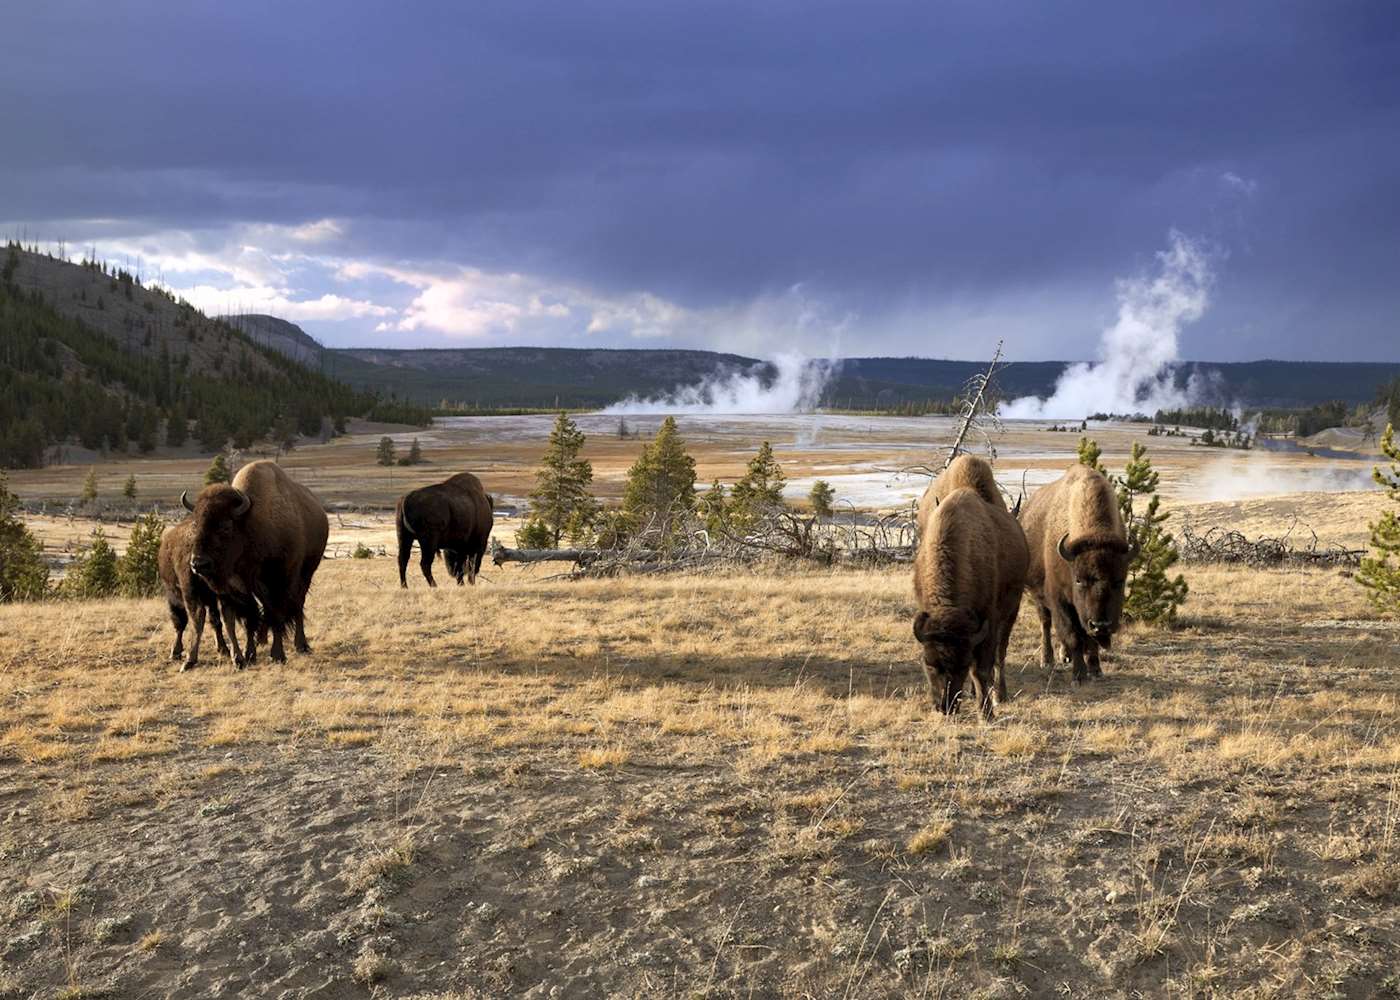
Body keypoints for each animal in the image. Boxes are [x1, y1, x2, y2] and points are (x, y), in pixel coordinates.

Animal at [182, 456, 329, 661]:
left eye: (226, 526)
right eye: (195, 525)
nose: (198, 564)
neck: (250, 525)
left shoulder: (278, 581)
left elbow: (276, 613)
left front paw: (278, 655)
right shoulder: (242, 585)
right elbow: (251, 617)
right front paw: (249, 653)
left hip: (306, 573)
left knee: (298, 604)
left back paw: (301, 645)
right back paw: (262, 640)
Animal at [907, 456, 1030, 722]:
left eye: (962, 665)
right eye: (928, 663)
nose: (944, 706)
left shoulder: (989, 620)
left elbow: (982, 668)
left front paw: (987, 713)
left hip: (1012, 609)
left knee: (1001, 654)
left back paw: (1000, 694)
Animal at [1024, 462, 1131, 680]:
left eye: (1119, 581)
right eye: (1079, 580)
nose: (1101, 625)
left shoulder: (1085, 615)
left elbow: (1087, 639)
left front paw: (1096, 670)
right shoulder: (1060, 600)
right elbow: (1073, 635)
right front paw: (1079, 676)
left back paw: (1065, 656)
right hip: (1037, 595)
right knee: (1046, 623)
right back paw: (1047, 660)